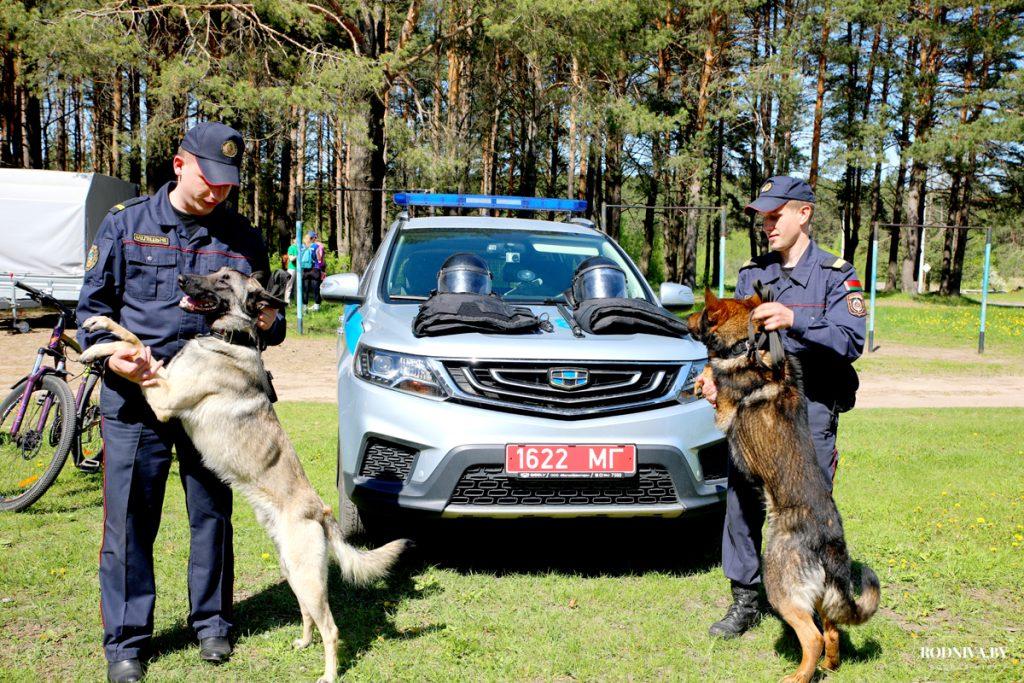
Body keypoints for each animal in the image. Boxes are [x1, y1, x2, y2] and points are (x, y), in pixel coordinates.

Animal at [80, 268, 407, 683]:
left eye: (223, 280)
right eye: (212, 273)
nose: (184, 278)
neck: (226, 340)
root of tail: (321, 510)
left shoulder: (164, 399)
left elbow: (138, 345)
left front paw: (102, 347)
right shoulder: (163, 377)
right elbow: (132, 340)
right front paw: (99, 339)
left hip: (306, 575)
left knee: (331, 628)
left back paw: (329, 674)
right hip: (294, 571)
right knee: (308, 615)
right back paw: (303, 643)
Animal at [688, 290, 880, 683]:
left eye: (700, 312)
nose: (682, 319)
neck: (749, 344)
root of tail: (829, 541)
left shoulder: (722, 411)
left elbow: (716, 377)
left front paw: (705, 377)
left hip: (779, 583)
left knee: (814, 636)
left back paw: (798, 676)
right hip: (817, 595)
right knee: (831, 629)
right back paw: (829, 666)